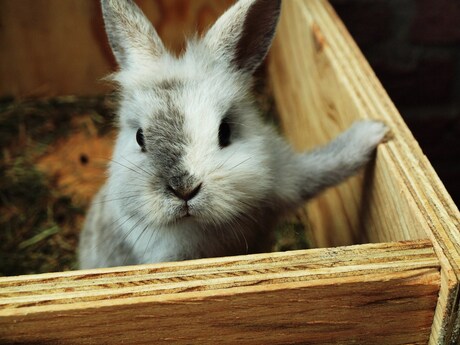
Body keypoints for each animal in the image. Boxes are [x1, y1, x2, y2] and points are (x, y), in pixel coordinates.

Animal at [78, 0, 388, 268]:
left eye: (225, 131)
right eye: (140, 137)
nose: (184, 189)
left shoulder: (289, 176)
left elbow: (329, 165)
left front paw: (376, 129)